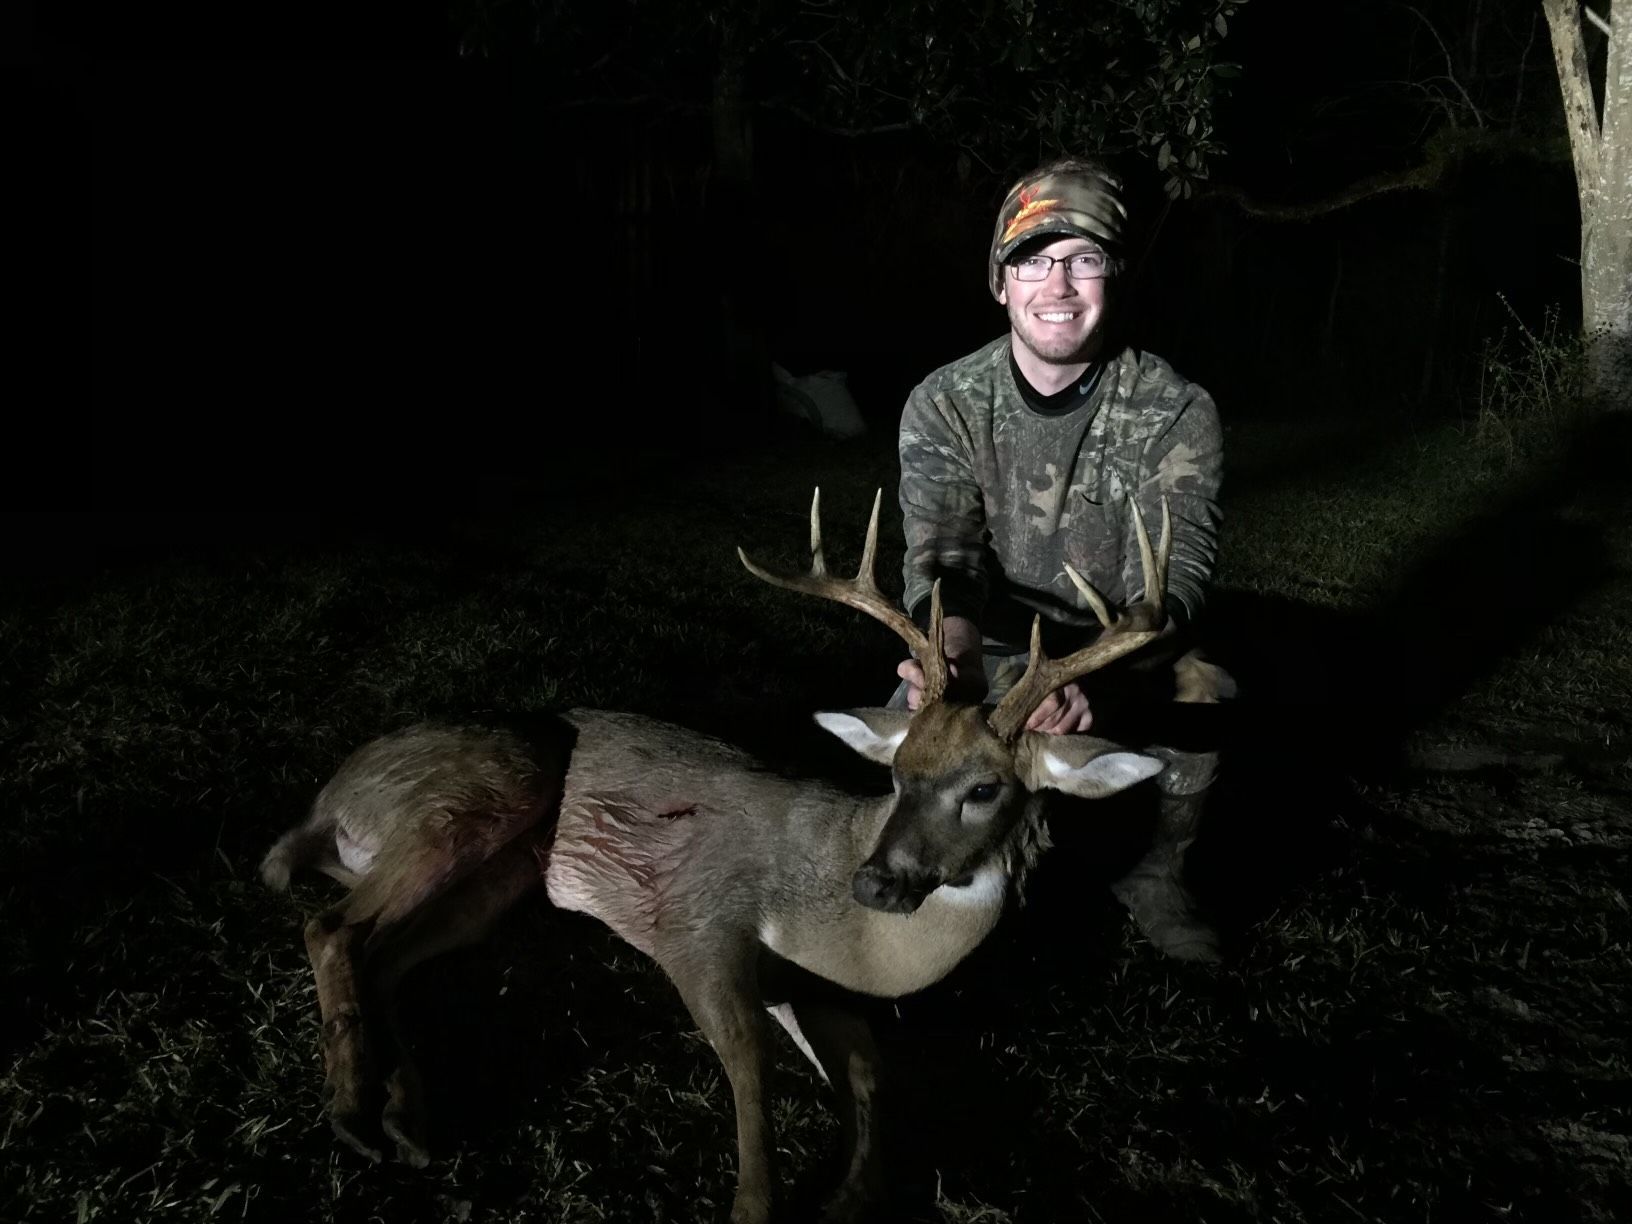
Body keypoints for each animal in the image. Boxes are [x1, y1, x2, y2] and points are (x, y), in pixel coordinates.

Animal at [260, 489, 1176, 1224]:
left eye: (985, 788)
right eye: (895, 771)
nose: (877, 883)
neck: (848, 932)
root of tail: (325, 800)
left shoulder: (807, 985)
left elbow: (870, 1074)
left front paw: (850, 1195)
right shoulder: (696, 918)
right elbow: (749, 1067)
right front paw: (755, 1204)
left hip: (499, 879)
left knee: (384, 956)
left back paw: (405, 1119)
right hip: (491, 788)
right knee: (332, 927)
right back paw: (352, 1115)